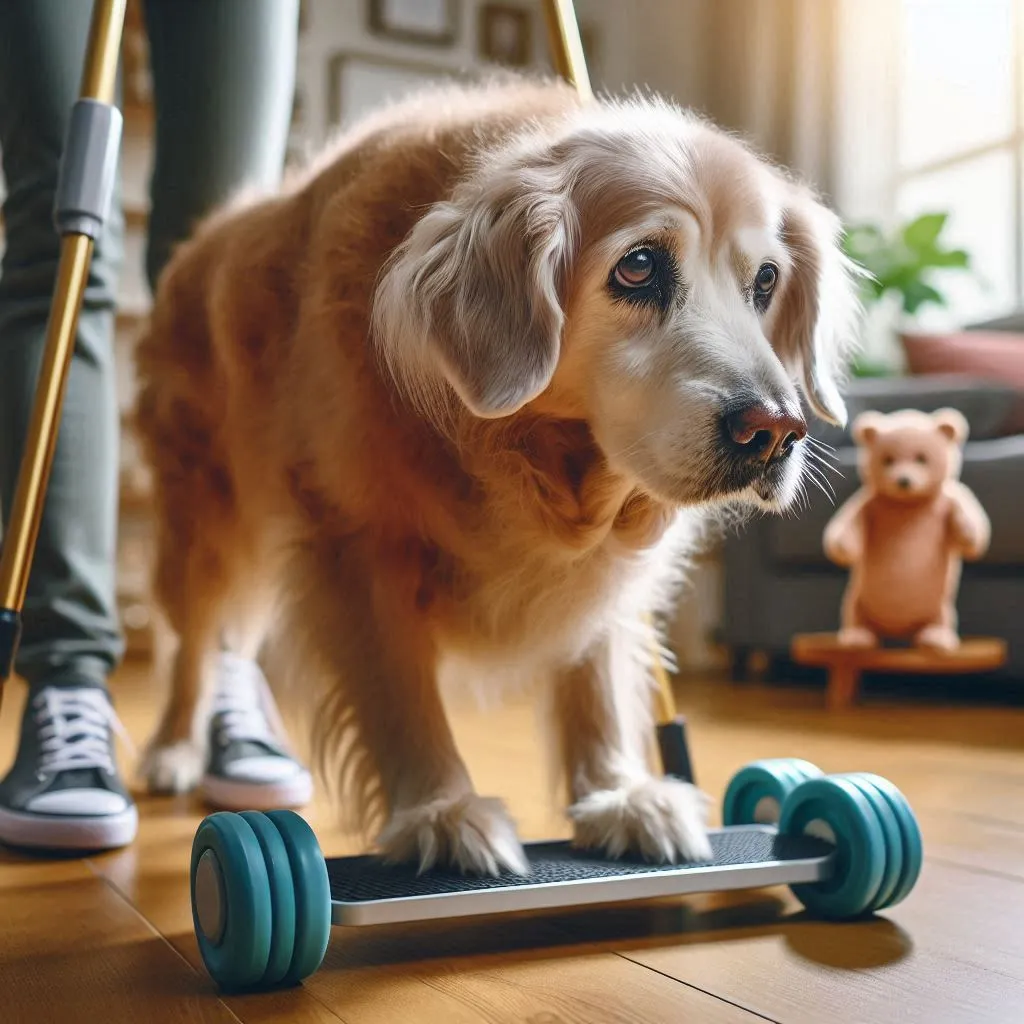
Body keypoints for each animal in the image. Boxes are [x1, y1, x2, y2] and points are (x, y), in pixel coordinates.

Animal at [132, 75, 860, 876]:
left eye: (765, 280)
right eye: (638, 266)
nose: (776, 430)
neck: (522, 449)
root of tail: (203, 239)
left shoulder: (599, 569)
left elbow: (595, 672)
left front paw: (618, 792)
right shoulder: (354, 541)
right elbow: (400, 691)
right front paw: (441, 812)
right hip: (204, 524)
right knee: (197, 641)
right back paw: (173, 748)